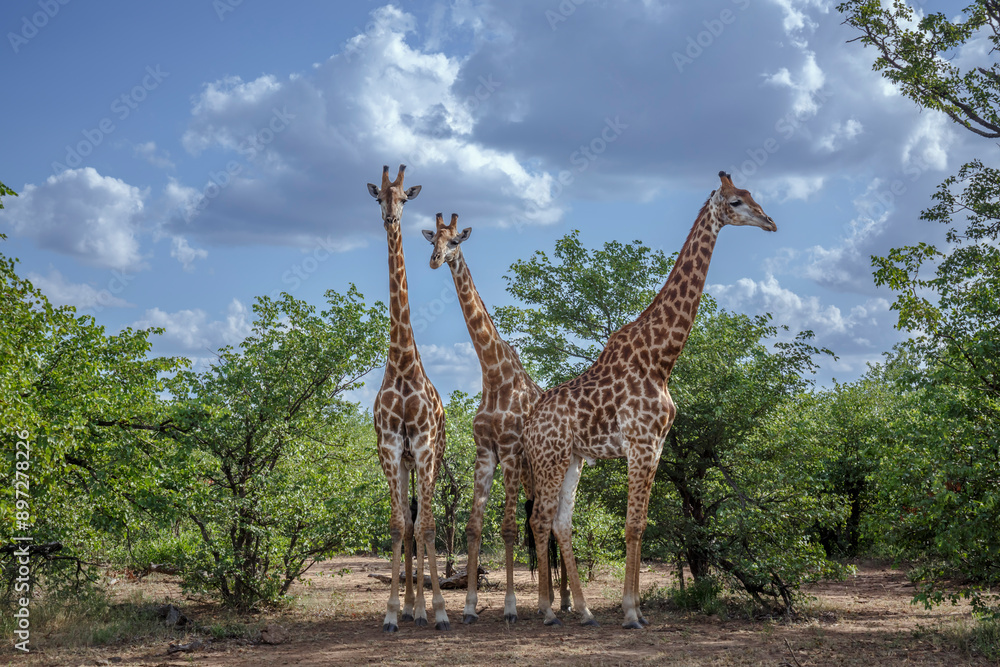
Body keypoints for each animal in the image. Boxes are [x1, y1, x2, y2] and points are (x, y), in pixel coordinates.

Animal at [422, 213, 563, 624]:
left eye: (456, 242)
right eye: (432, 240)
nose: (435, 260)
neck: (494, 375)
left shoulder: (511, 452)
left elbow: (508, 529)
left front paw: (512, 607)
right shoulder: (485, 453)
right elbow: (473, 528)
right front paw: (469, 608)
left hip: (547, 468)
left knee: (553, 524)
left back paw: (562, 601)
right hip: (533, 476)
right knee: (541, 523)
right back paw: (553, 600)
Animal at [523, 171, 776, 629]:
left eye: (753, 195)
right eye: (735, 201)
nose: (770, 222)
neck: (661, 359)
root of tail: (529, 425)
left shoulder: (656, 445)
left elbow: (640, 524)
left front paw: (637, 609)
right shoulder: (640, 444)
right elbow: (632, 525)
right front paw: (629, 612)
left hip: (573, 459)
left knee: (561, 523)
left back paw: (585, 611)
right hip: (550, 458)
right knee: (540, 519)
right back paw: (549, 611)